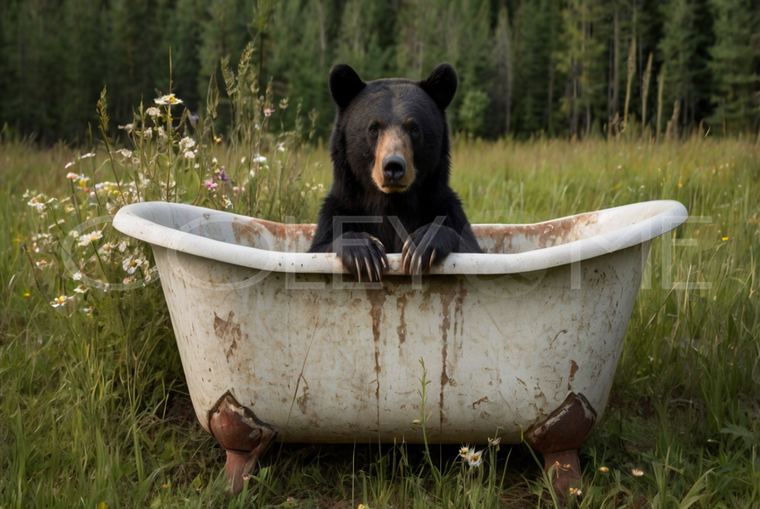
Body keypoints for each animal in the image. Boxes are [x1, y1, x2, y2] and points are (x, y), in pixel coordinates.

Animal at [308, 62, 482, 281]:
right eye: (373, 128)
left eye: (414, 128)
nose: (393, 166)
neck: (392, 202)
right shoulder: (341, 208)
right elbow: (321, 245)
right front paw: (365, 253)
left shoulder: (443, 206)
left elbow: (470, 246)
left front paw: (419, 244)